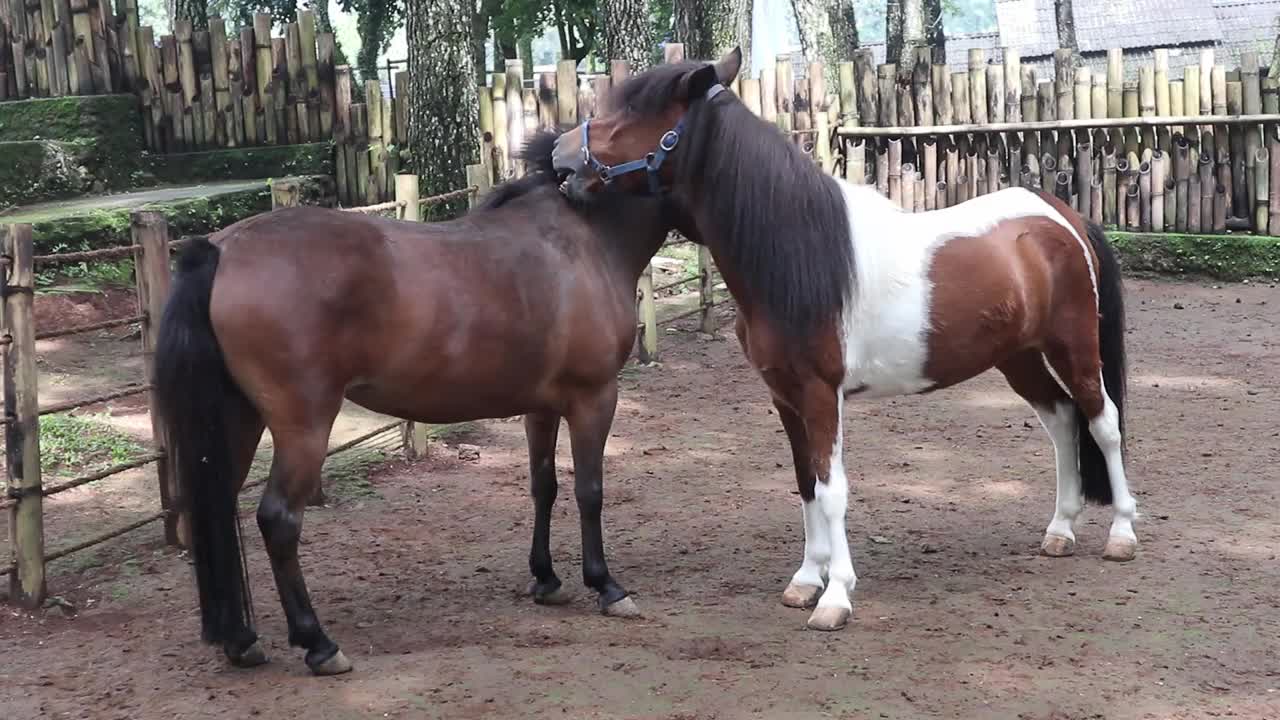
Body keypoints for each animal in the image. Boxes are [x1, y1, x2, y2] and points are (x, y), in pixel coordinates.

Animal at [154, 131, 680, 676]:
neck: (585, 238)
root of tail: (221, 248)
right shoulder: (594, 397)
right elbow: (590, 491)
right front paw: (605, 585)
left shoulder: (542, 407)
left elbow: (544, 486)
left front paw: (547, 579)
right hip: (303, 427)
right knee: (278, 519)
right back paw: (318, 643)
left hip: (236, 421)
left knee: (217, 509)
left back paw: (241, 640)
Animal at [555, 50, 1136, 630]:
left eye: (635, 116)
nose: (560, 157)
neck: (797, 254)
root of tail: (1063, 216)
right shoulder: (785, 396)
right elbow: (806, 483)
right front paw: (805, 581)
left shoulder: (820, 394)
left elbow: (832, 490)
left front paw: (835, 596)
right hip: (1019, 356)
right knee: (1061, 419)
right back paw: (1060, 529)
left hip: (1073, 346)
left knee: (1102, 421)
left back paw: (1122, 534)